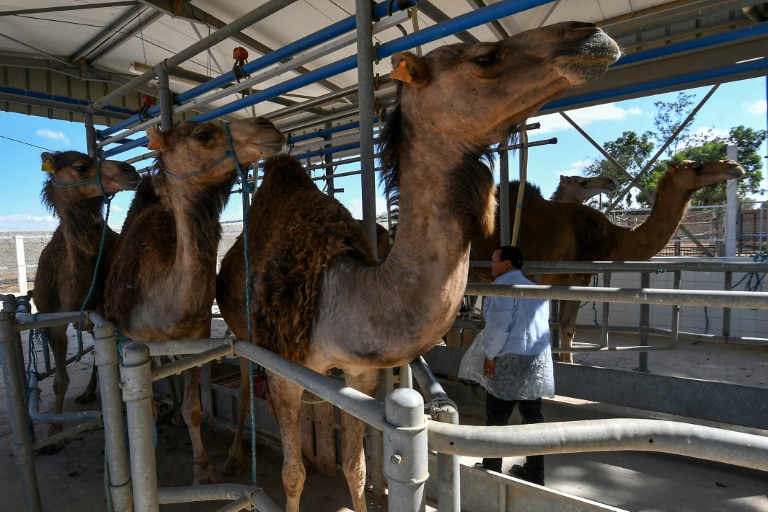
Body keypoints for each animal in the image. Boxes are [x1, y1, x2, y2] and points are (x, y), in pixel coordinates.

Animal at [32, 151, 139, 449]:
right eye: (81, 167)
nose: (130, 169)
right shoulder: (52, 321)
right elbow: (59, 380)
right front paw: (54, 434)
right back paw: (88, 392)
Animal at [103, 117, 284, 484]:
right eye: (203, 134)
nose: (268, 125)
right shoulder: (131, 340)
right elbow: (143, 399)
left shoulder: (196, 337)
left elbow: (194, 409)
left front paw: (203, 471)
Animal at [216, 21, 620, 512]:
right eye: (485, 57)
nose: (591, 37)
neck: (337, 292)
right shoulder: (281, 369)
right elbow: (292, 475)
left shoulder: (360, 374)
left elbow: (356, 466)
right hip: (241, 332)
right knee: (241, 383)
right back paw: (231, 458)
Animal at [470, 159, 745, 363]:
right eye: (696, 167)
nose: (734, 165)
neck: (614, 237)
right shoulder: (579, 277)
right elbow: (567, 327)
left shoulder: (559, 280)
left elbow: (558, 326)